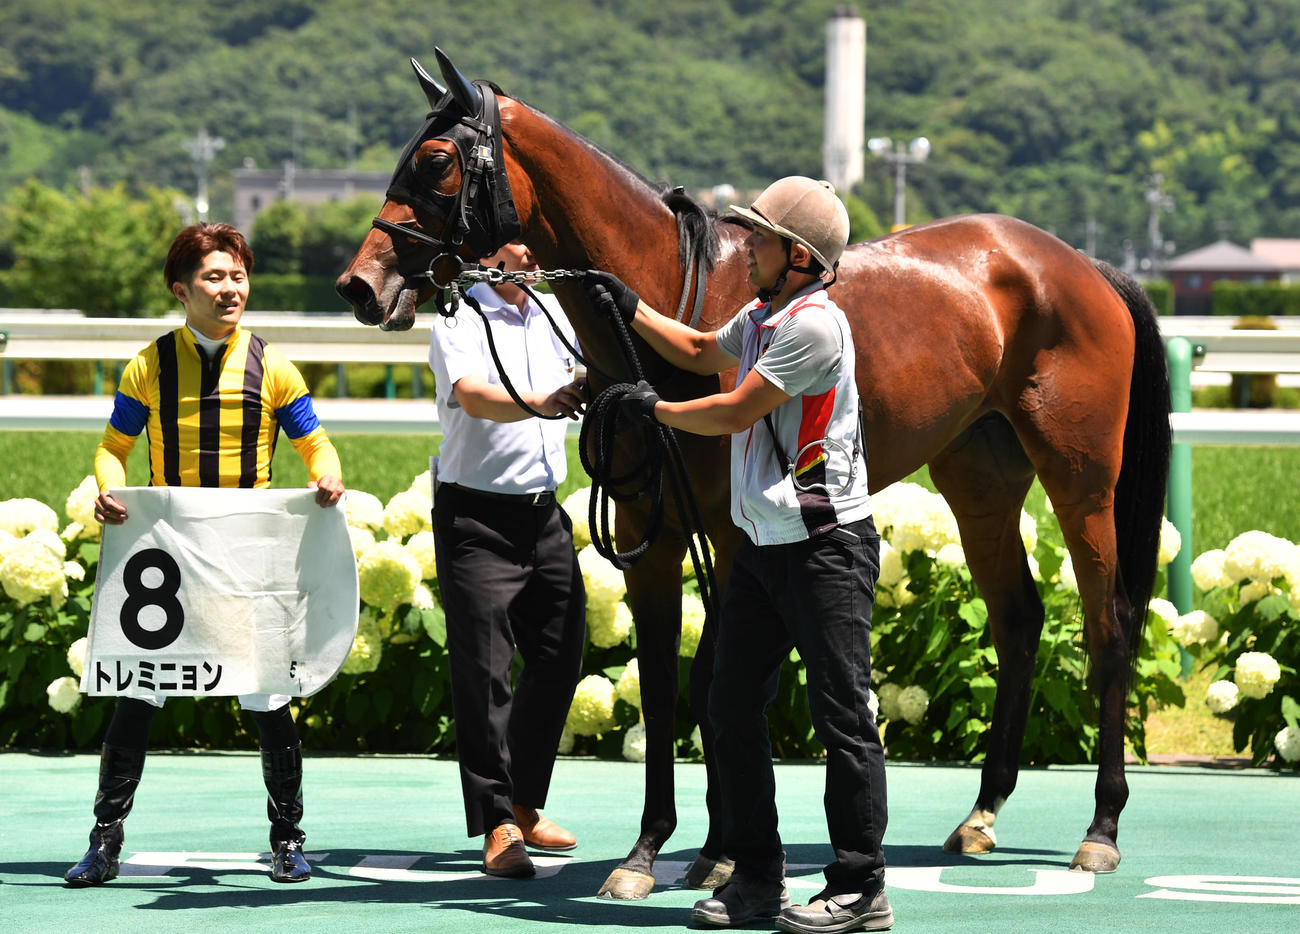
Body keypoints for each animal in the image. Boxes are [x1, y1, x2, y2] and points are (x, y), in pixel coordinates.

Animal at [335, 49, 1171, 900]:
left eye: (436, 163)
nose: (359, 286)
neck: (679, 302)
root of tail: (1081, 264)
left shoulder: (733, 538)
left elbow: (716, 681)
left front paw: (722, 849)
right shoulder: (650, 533)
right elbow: (668, 688)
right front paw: (656, 850)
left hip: (1081, 480)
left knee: (1109, 627)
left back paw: (1101, 829)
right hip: (980, 479)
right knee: (1018, 619)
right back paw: (982, 813)